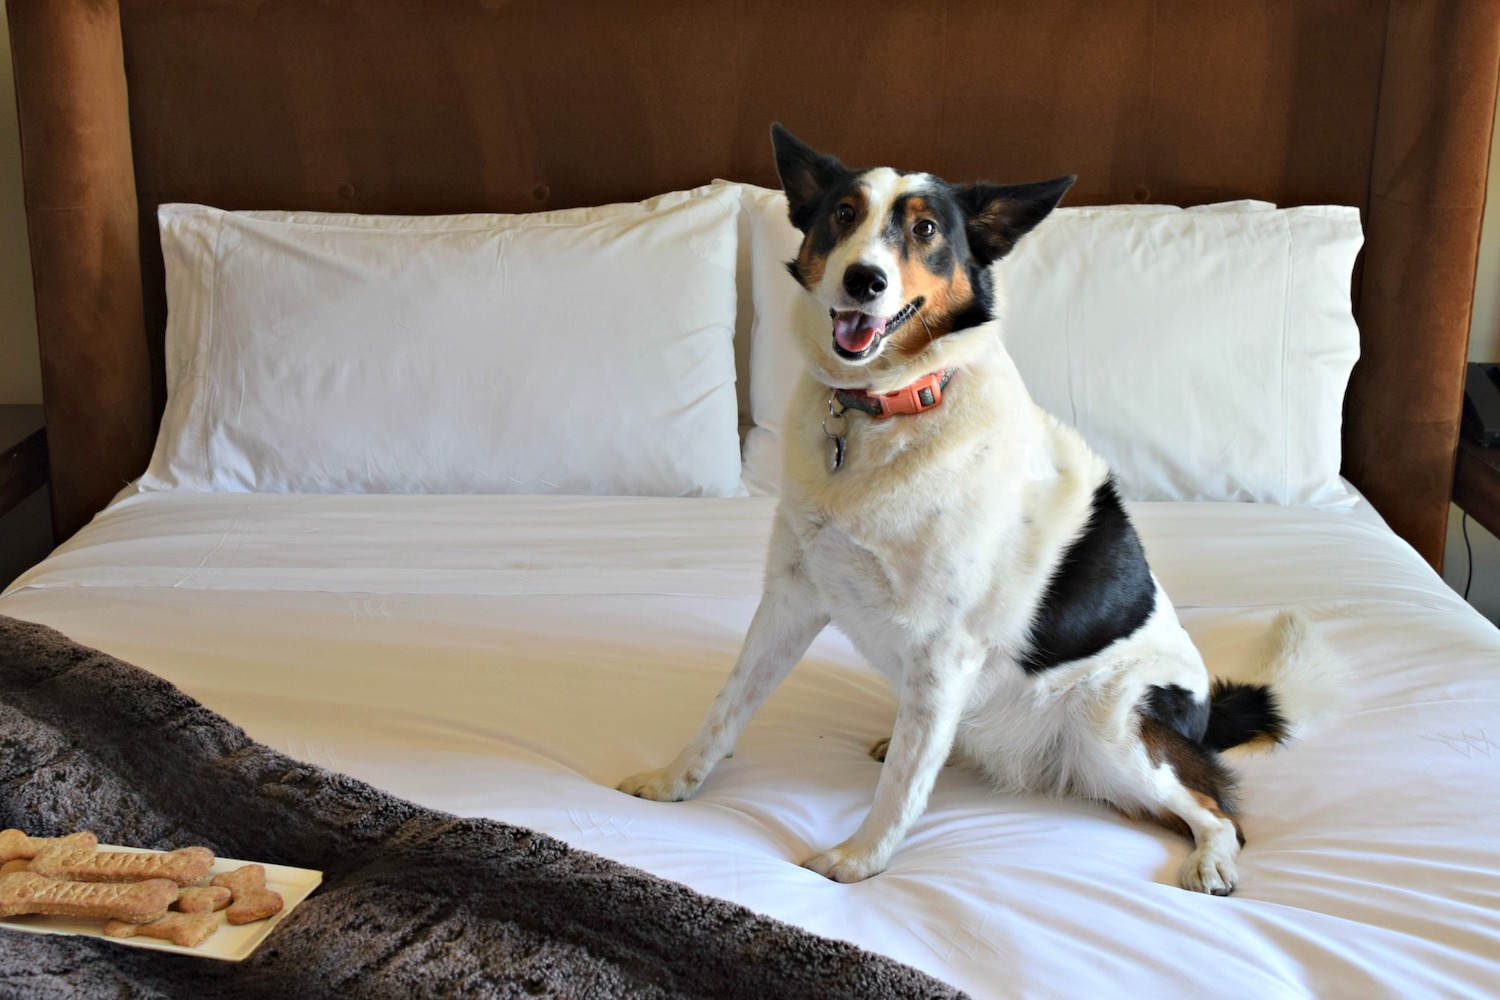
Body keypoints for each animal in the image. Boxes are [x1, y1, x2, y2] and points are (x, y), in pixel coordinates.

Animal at [615, 125, 1344, 899]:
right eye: (843, 214)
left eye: (925, 230)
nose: (864, 281)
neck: (885, 409)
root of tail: (1203, 713)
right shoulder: (792, 596)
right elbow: (726, 709)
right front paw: (673, 782)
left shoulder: (944, 645)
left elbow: (906, 783)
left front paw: (861, 859)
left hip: (1111, 723)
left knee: (1217, 810)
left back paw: (1211, 858)